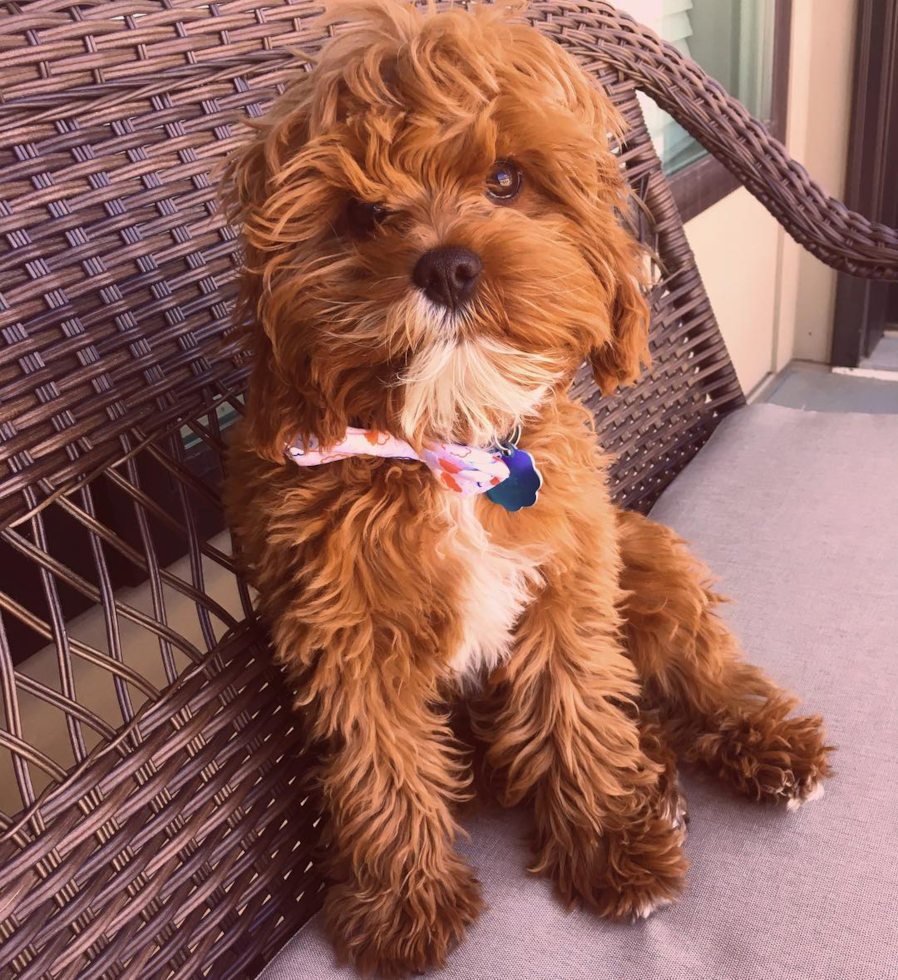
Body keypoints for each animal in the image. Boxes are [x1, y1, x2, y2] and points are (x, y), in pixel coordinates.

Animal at [226, 5, 832, 972]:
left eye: (505, 180)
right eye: (365, 214)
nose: (448, 266)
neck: (448, 448)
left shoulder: (568, 577)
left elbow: (577, 702)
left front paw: (611, 845)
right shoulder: (347, 628)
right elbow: (380, 759)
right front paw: (404, 900)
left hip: (644, 553)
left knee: (700, 667)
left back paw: (759, 742)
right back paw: (656, 781)